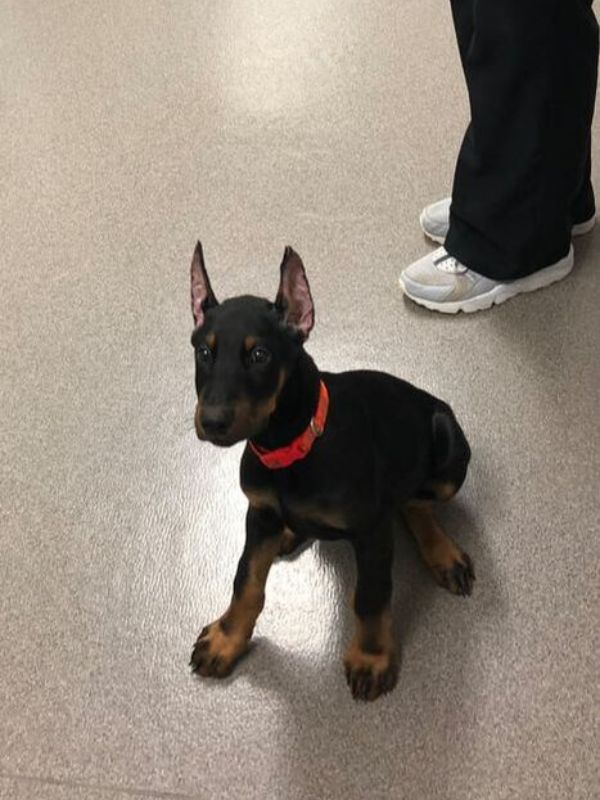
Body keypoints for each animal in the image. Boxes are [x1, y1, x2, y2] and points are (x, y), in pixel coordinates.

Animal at [188, 242, 474, 700]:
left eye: (259, 355)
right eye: (204, 352)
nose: (212, 422)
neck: (291, 449)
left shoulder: (372, 530)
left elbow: (371, 597)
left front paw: (371, 658)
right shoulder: (260, 511)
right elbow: (246, 579)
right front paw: (226, 640)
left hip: (448, 447)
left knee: (417, 503)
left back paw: (443, 553)